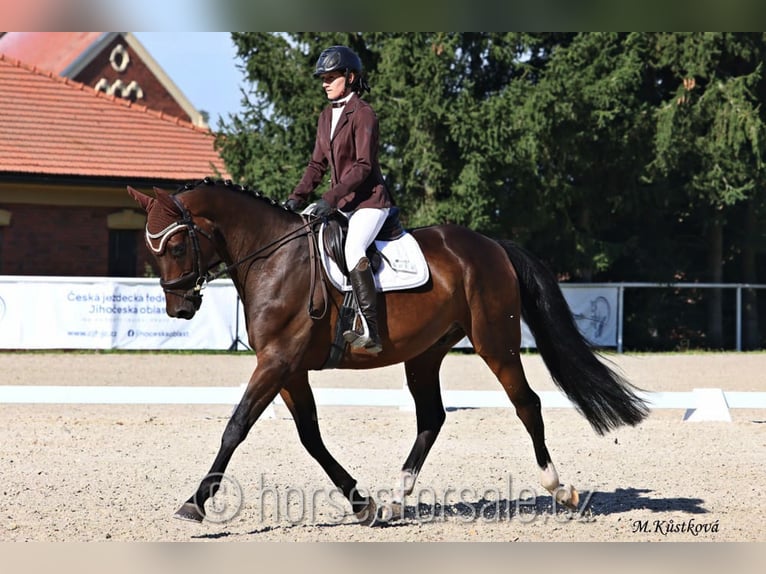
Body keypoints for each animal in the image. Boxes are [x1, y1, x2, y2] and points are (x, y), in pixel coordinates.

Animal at [129, 179, 652, 528]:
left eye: (177, 245)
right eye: (152, 249)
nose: (180, 308)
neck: (271, 257)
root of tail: (491, 245)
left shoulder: (276, 363)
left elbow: (236, 427)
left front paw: (195, 503)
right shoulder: (289, 370)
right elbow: (311, 437)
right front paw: (363, 505)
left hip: (495, 343)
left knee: (527, 404)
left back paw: (559, 489)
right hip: (424, 355)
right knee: (431, 418)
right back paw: (398, 498)